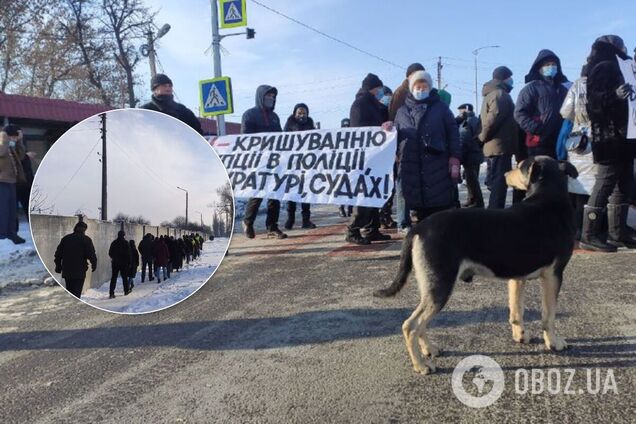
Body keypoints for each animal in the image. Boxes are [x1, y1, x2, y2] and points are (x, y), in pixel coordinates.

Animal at [376, 157, 580, 374]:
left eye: (519, 167)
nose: (505, 175)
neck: (548, 197)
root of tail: (418, 228)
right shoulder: (553, 275)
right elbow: (548, 315)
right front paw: (554, 342)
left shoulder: (518, 277)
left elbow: (517, 311)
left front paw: (521, 336)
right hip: (441, 286)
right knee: (411, 326)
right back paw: (421, 365)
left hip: (430, 287)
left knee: (420, 324)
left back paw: (429, 349)